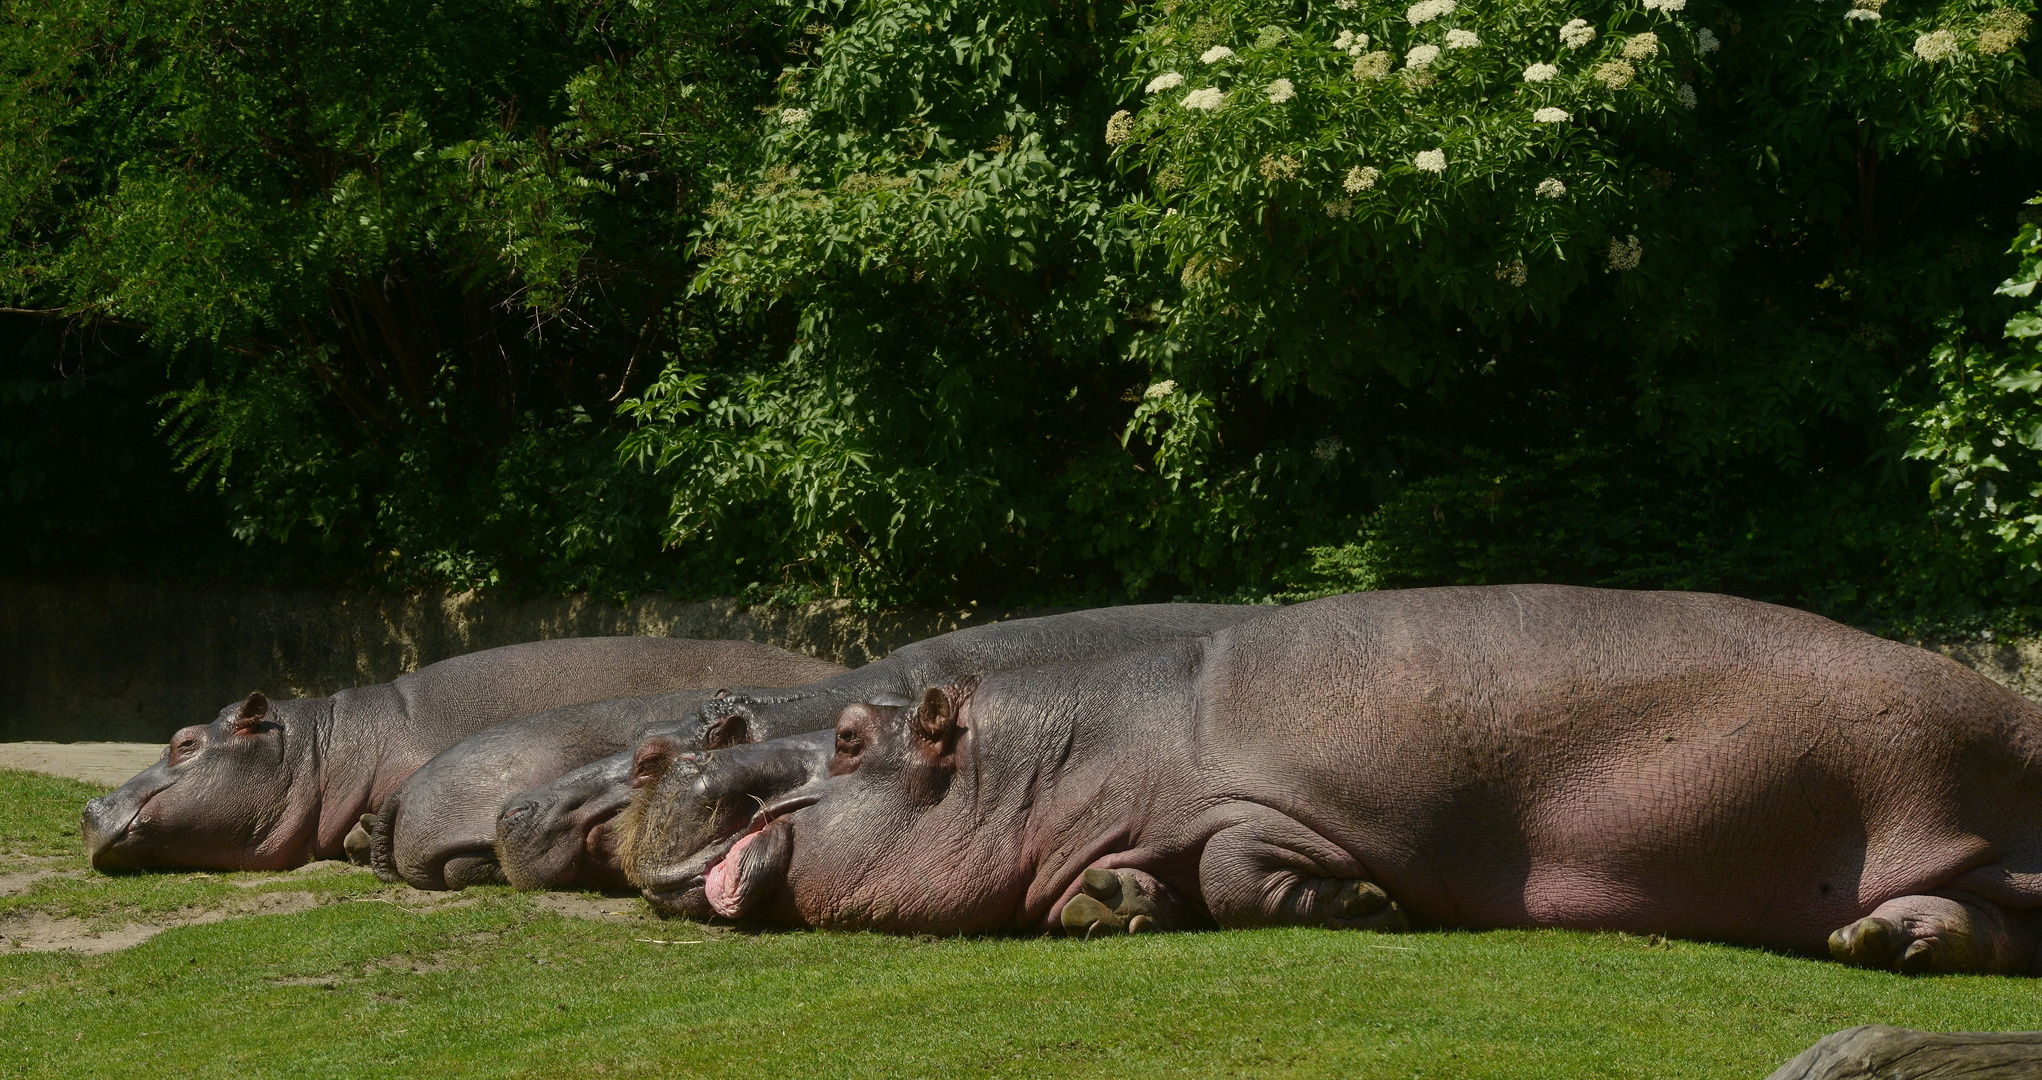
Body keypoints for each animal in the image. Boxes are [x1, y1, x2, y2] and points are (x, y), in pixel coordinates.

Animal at [682, 587, 2042, 975]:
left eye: (846, 741)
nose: (743, 805)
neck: (1051, 756)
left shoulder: (1273, 803)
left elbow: (1241, 865)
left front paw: (1369, 904)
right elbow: (1121, 889)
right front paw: (1119, 905)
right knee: (1972, 923)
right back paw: (1882, 945)